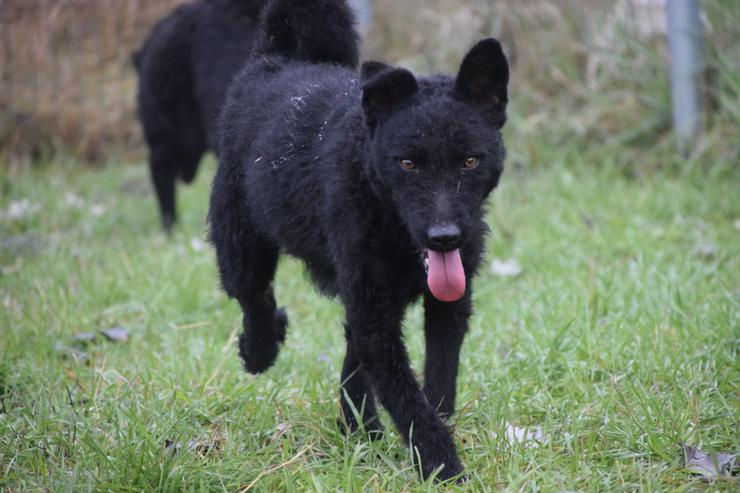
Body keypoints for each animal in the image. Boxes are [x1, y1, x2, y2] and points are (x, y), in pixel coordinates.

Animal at [208, 0, 508, 480]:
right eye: (407, 163)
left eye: (469, 160)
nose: (445, 238)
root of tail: (275, 59)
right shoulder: (375, 313)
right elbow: (406, 397)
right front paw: (442, 464)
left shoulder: (445, 304)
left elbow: (438, 379)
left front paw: (436, 435)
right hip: (240, 248)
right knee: (255, 298)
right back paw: (260, 349)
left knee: (350, 355)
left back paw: (360, 431)